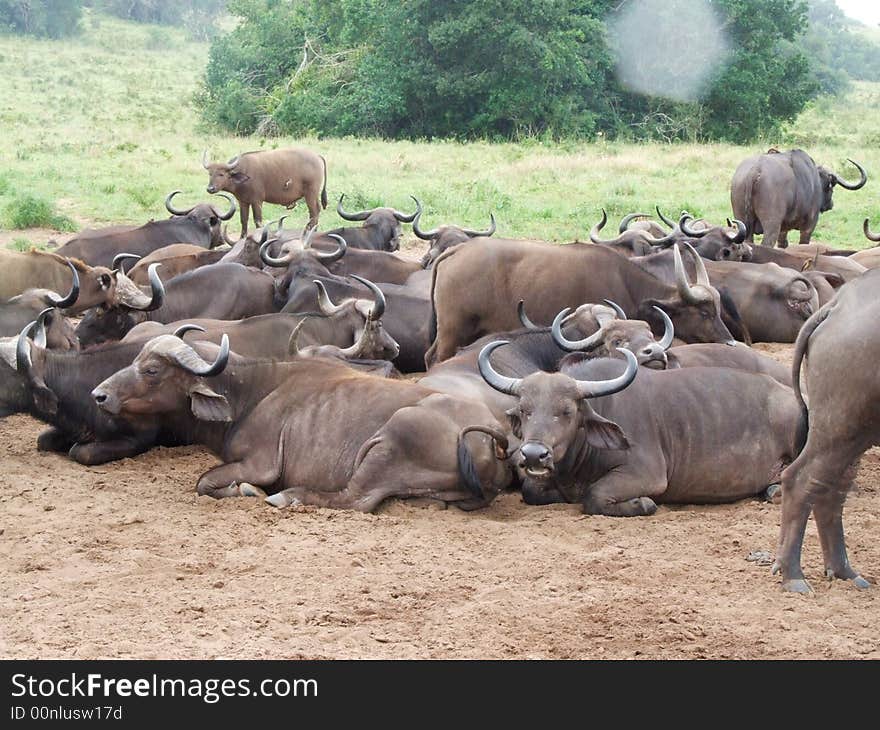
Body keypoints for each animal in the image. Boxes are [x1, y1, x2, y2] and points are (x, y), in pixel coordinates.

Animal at [728, 148, 868, 247]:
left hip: (743, 221)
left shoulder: (783, 230)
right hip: (771, 225)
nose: (831, 204)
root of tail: (755, 170)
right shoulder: (809, 226)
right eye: (831, 187)